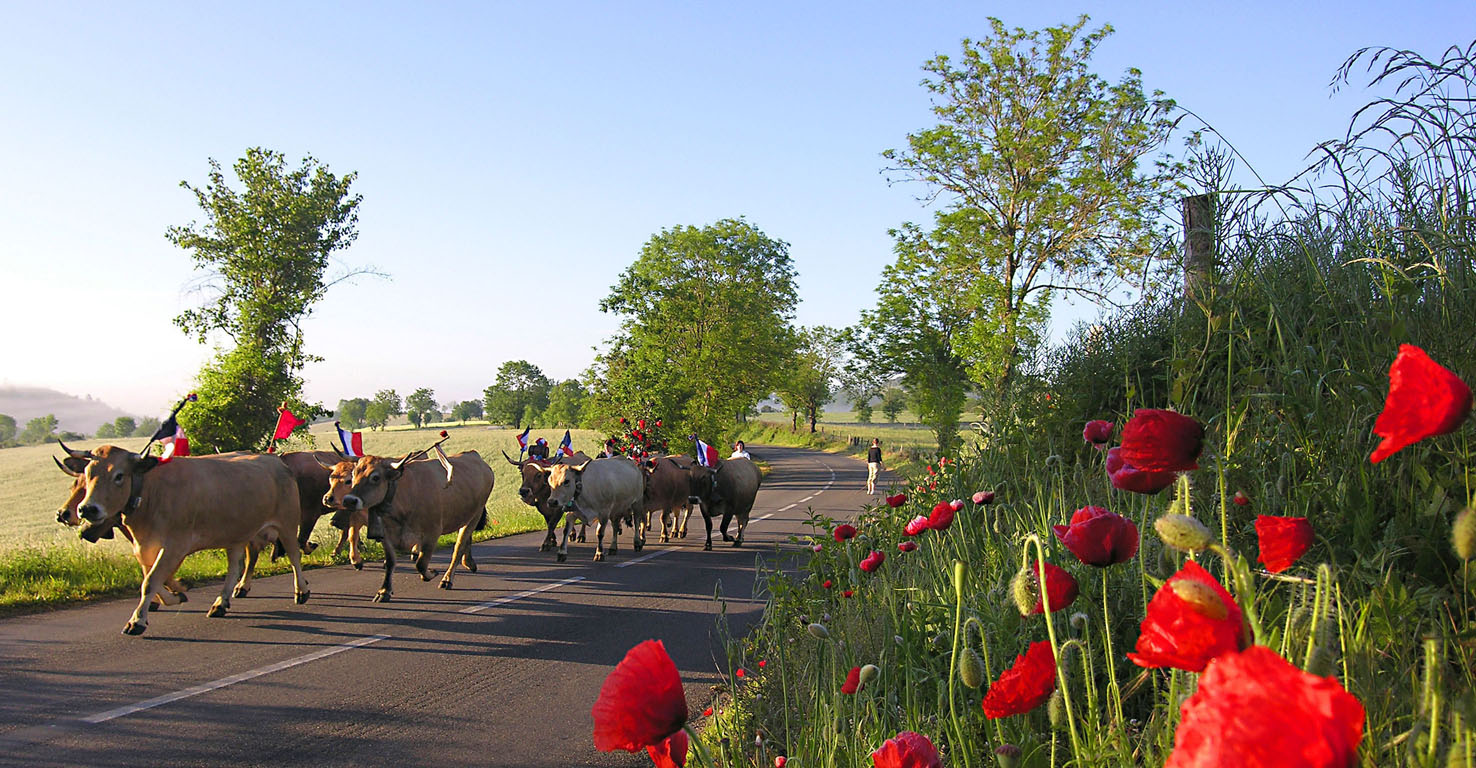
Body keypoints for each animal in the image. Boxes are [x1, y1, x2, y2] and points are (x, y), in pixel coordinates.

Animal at [70, 443, 307, 635]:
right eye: (88, 473)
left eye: (119, 476)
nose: (87, 509)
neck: (150, 492)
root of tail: (275, 461)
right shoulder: (145, 547)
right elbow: (154, 579)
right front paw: (179, 592)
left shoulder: (175, 545)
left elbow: (151, 581)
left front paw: (137, 621)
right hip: (236, 535)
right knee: (235, 567)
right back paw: (221, 603)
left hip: (287, 524)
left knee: (294, 556)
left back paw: (301, 591)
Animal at [321, 448, 492, 599]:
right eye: (354, 474)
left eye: (375, 477)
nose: (349, 501)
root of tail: (475, 456)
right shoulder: (386, 534)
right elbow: (390, 562)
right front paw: (384, 591)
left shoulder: (432, 532)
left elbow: (421, 564)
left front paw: (431, 573)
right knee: (466, 540)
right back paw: (468, 563)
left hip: (474, 516)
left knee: (459, 545)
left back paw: (447, 579)